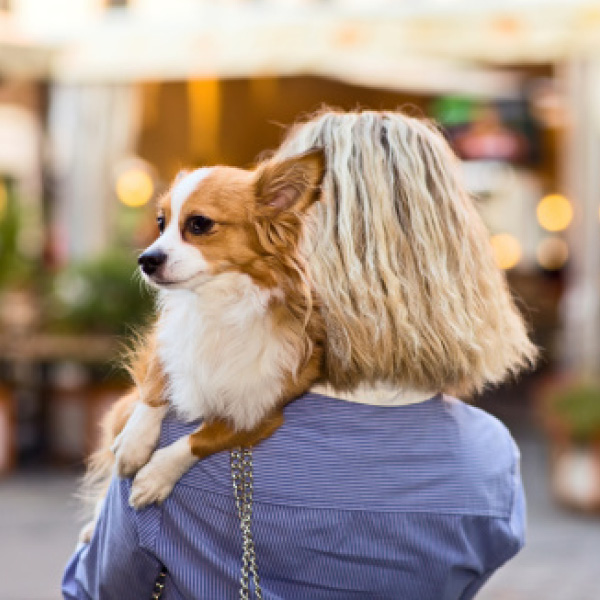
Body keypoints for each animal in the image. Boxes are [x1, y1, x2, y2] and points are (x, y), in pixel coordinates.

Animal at [81, 149, 326, 540]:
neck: (217, 300)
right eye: (161, 223)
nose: (145, 260)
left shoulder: (258, 413)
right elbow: (155, 387)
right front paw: (135, 443)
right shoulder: (166, 342)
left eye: (199, 224)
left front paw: (155, 476)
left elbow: (204, 437)